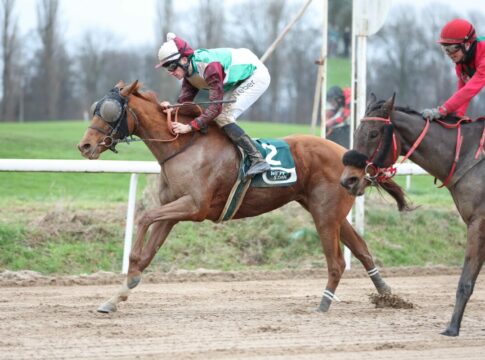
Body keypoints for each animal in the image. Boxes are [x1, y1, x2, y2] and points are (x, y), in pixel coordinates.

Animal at [77, 80, 392, 314]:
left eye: (108, 111)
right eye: (94, 108)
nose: (85, 146)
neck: (184, 146)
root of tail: (351, 157)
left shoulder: (194, 207)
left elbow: (144, 218)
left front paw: (129, 268)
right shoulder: (173, 210)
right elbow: (149, 250)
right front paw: (116, 296)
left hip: (325, 214)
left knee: (337, 262)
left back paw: (324, 304)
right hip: (329, 212)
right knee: (361, 249)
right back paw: (388, 295)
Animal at [338, 92, 484, 334]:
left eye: (374, 133)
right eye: (356, 132)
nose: (348, 180)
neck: (467, 155)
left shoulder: (478, 222)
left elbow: (465, 280)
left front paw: (452, 328)